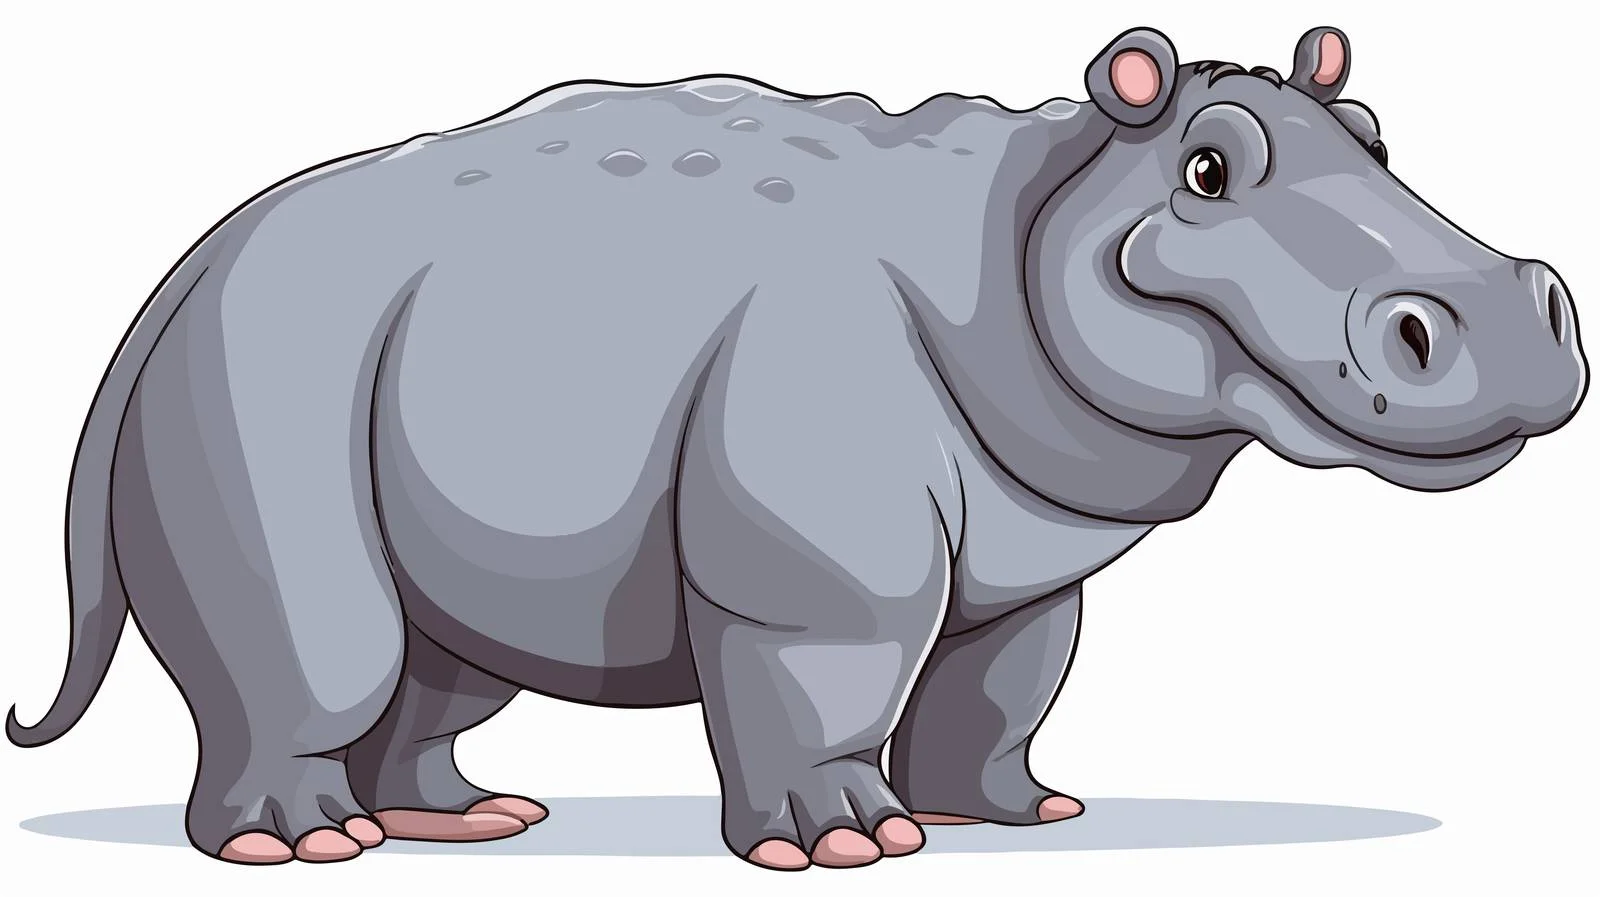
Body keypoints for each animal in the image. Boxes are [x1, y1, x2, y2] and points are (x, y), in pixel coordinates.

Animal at [6, 25, 1586, 870]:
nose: (1514, 319)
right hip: (259, 365)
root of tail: (180, 271)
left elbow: (1006, 677)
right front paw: (847, 846)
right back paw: (299, 846)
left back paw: (473, 821)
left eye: (1374, 134)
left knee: (445, 662)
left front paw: (1016, 815)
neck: (1043, 207)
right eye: (1207, 172)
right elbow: (832, 665)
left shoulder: (1038, 544)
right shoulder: (825, 562)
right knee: (322, 641)